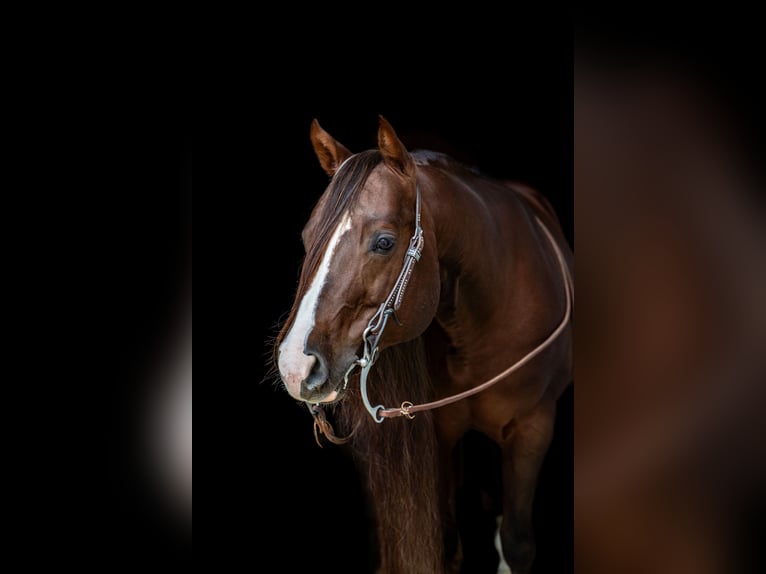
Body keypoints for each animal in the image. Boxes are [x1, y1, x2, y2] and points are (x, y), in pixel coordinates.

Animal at [271, 116, 573, 573]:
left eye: (384, 242)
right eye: (307, 237)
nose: (294, 366)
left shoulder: (534, 428)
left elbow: (516, 544)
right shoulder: (440, 431)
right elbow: (447, 542)